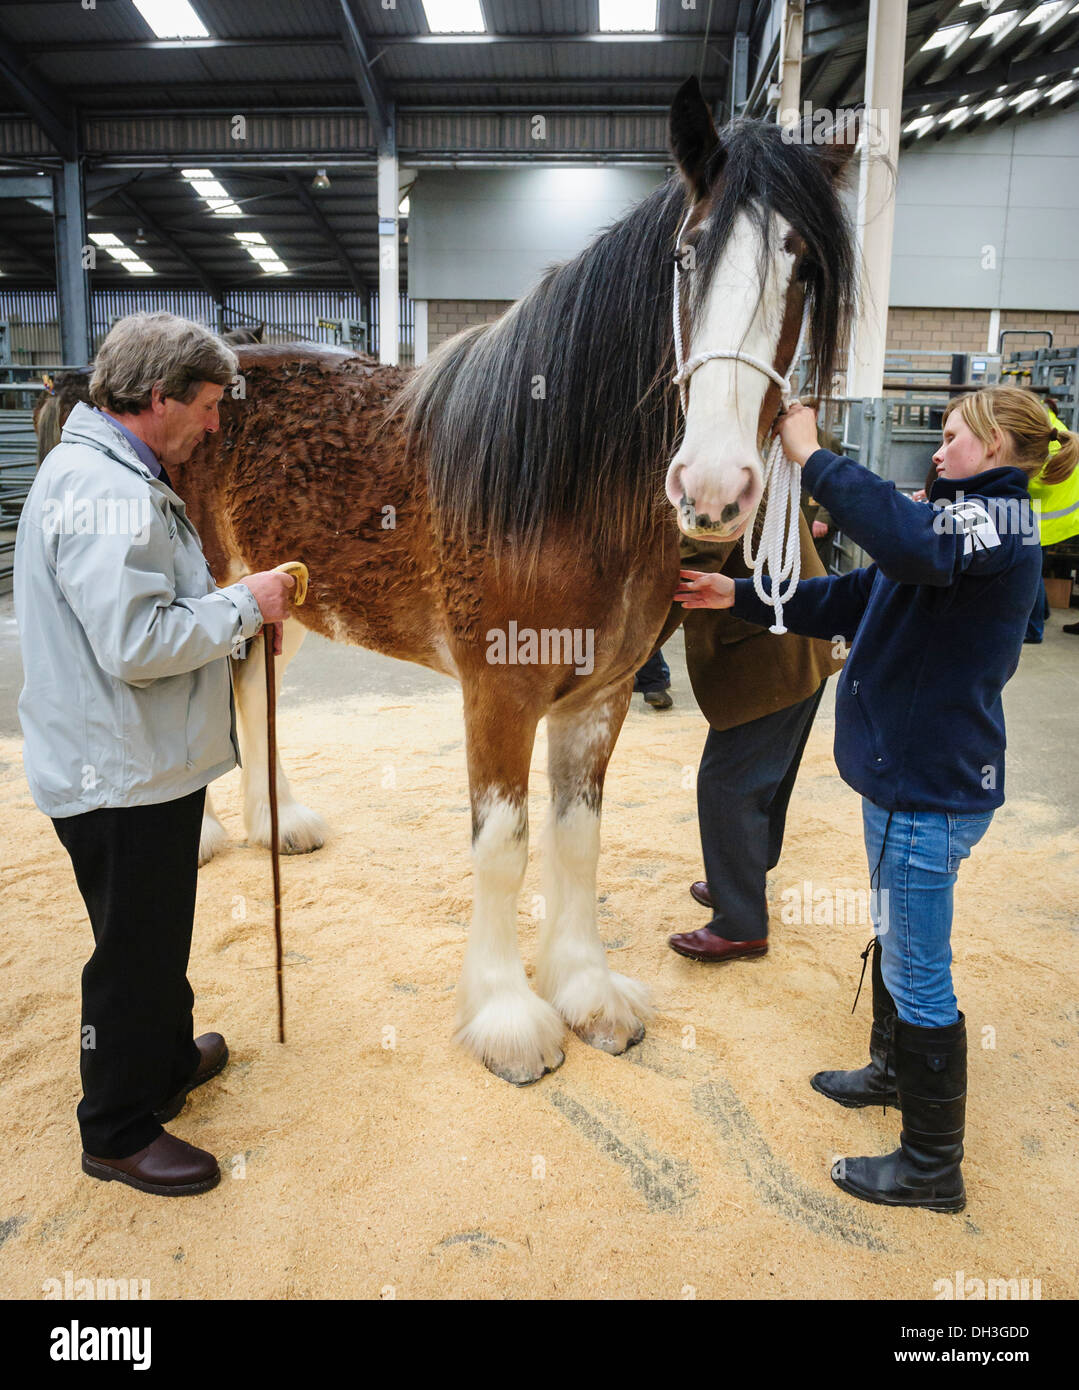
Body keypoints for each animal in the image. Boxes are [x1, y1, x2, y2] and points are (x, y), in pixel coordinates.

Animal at [39, 80, 859, 1084]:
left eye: (803, 270)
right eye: (684, 256)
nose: (711, 485)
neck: (553, 476)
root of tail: (87, 378)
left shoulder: (599, 697)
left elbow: (577, 843)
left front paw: (588, 995)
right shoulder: (498, 692)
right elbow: (503, 848)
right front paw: (508, 1019)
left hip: (272, 603)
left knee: (249, 698)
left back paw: (279, 824)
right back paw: (202, 837)